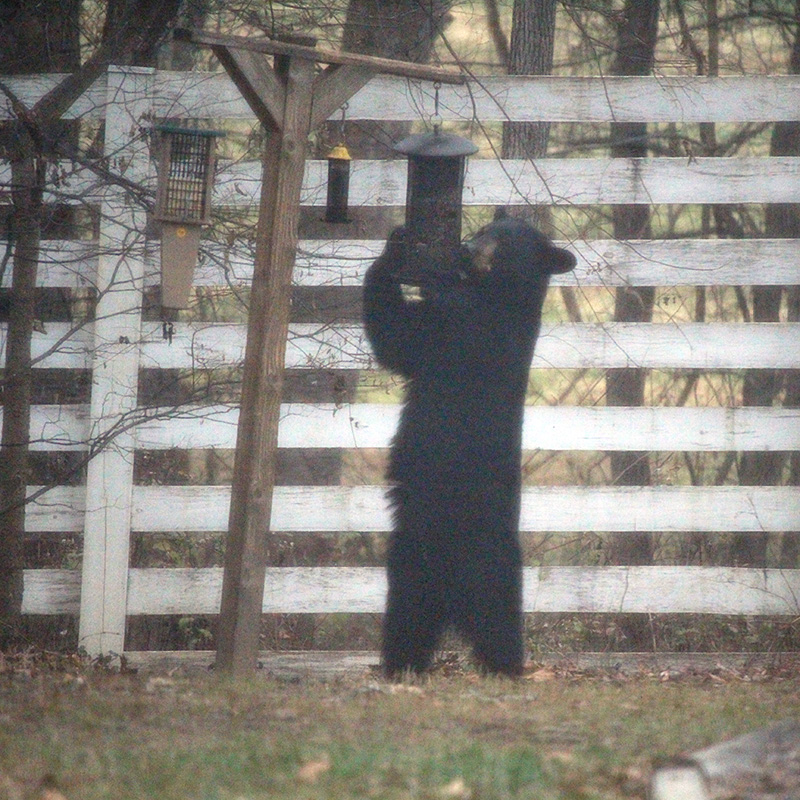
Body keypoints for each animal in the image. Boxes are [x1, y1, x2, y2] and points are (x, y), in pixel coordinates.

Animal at [362, 215, 577, 678]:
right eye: (484, 228)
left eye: (500, 239)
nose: (465, 249)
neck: (498, 293)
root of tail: (451, 600)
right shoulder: (438, 339)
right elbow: (399, 339)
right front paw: (394, 249)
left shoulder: (492, 337)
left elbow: (443, 330)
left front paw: (439, 279)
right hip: (409, 564)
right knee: (405, 619)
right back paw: (399, 666)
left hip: (490, 569)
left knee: (500, 623)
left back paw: (507, 667)